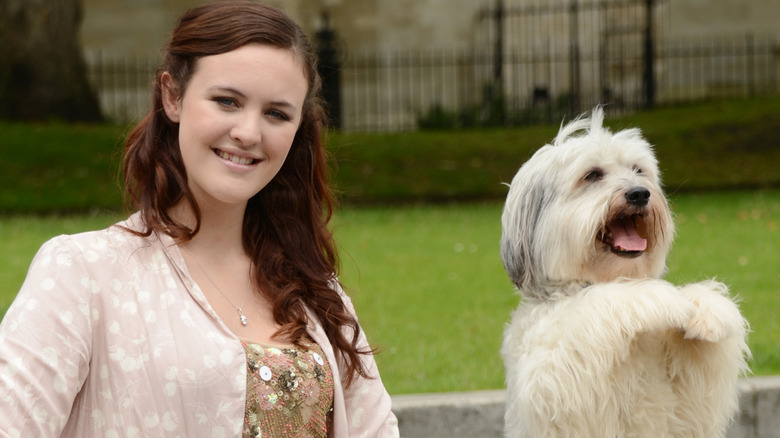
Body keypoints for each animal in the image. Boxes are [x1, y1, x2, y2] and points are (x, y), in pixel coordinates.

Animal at [500, 108, 748, 438]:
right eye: (592, 175)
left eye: (638, 170)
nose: (640, 194)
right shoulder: (552, 384)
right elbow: (603, 300)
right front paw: (666, 301)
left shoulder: (688, 409)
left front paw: (706, 308)